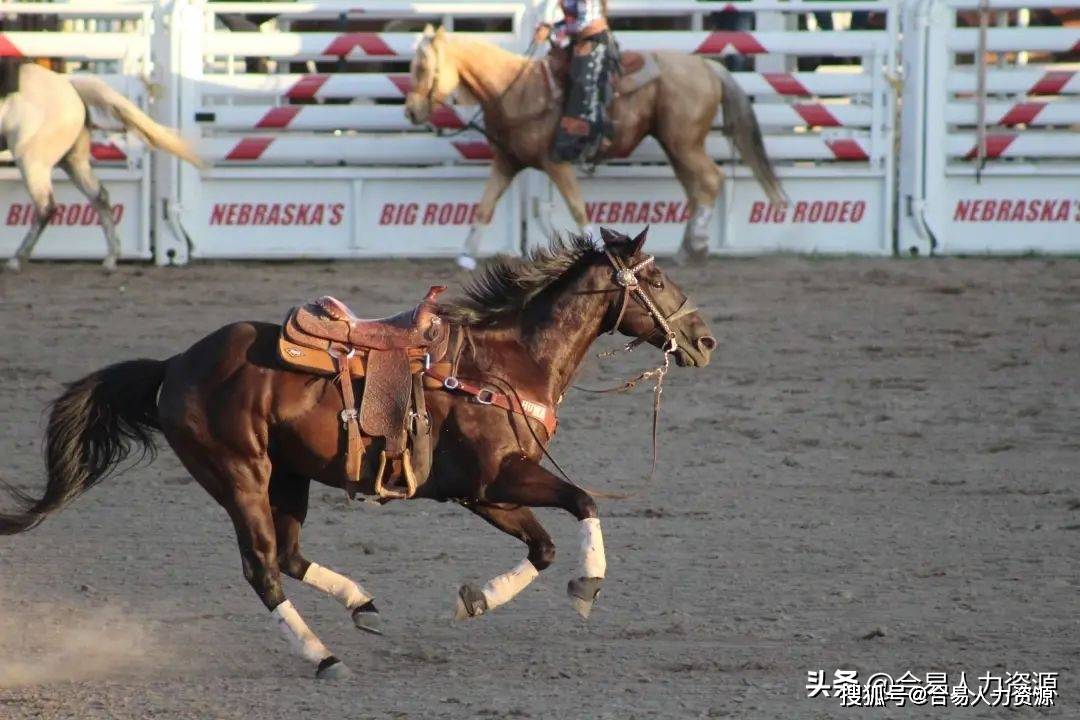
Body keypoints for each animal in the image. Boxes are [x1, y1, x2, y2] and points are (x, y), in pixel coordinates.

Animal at [0, 227, 717, 677]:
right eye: (655, 277)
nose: (705, 340)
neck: (506, 363)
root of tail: (175, 365)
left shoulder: (478, 491)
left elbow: (540, 546)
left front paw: (476, 600)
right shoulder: (497, 479)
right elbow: (585, 501)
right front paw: (588, 585)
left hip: (289, 478)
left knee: (288, 556)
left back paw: (363, 606)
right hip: (238, 476)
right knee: (262, 568)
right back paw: (323, 658)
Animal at [1, 62, 203, 273]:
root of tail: (69, 85)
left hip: (32, 161)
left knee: (46, 207)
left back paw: (16, 259)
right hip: (72, 162)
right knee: (99, 196)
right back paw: (111, 258)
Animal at [406, 25, 786, 268]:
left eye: (423, 66)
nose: (411, 111)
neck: (516, 90)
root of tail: (707, 65)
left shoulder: (555, 162)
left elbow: (577, 209)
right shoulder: (506, 163)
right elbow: (484, 208)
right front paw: (465, 256)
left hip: (683, 143)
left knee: (708, 181)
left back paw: (696, 248)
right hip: (676, 144)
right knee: (696, 187)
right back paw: (687, 248)